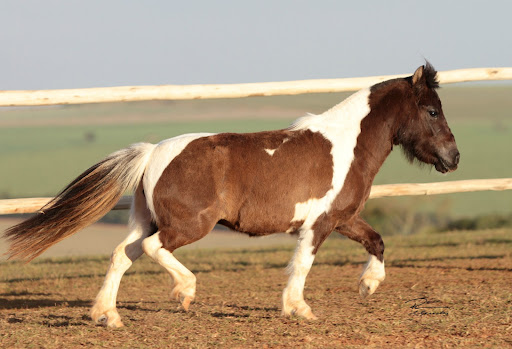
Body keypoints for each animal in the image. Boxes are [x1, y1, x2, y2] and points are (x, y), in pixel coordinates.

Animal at [4, 62, 460, 326]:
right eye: (432, 110)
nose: (453, 157)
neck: (348, 145)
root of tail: (153, 153)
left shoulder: (342, 218)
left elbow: (377, 241)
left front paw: (368, 286)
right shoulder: (320, 223)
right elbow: (302, 266)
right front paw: (300, 309)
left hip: (145, 220)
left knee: (122, 254)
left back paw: (107, 316)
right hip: (189, 225)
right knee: (153, 249)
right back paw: (184, 293)